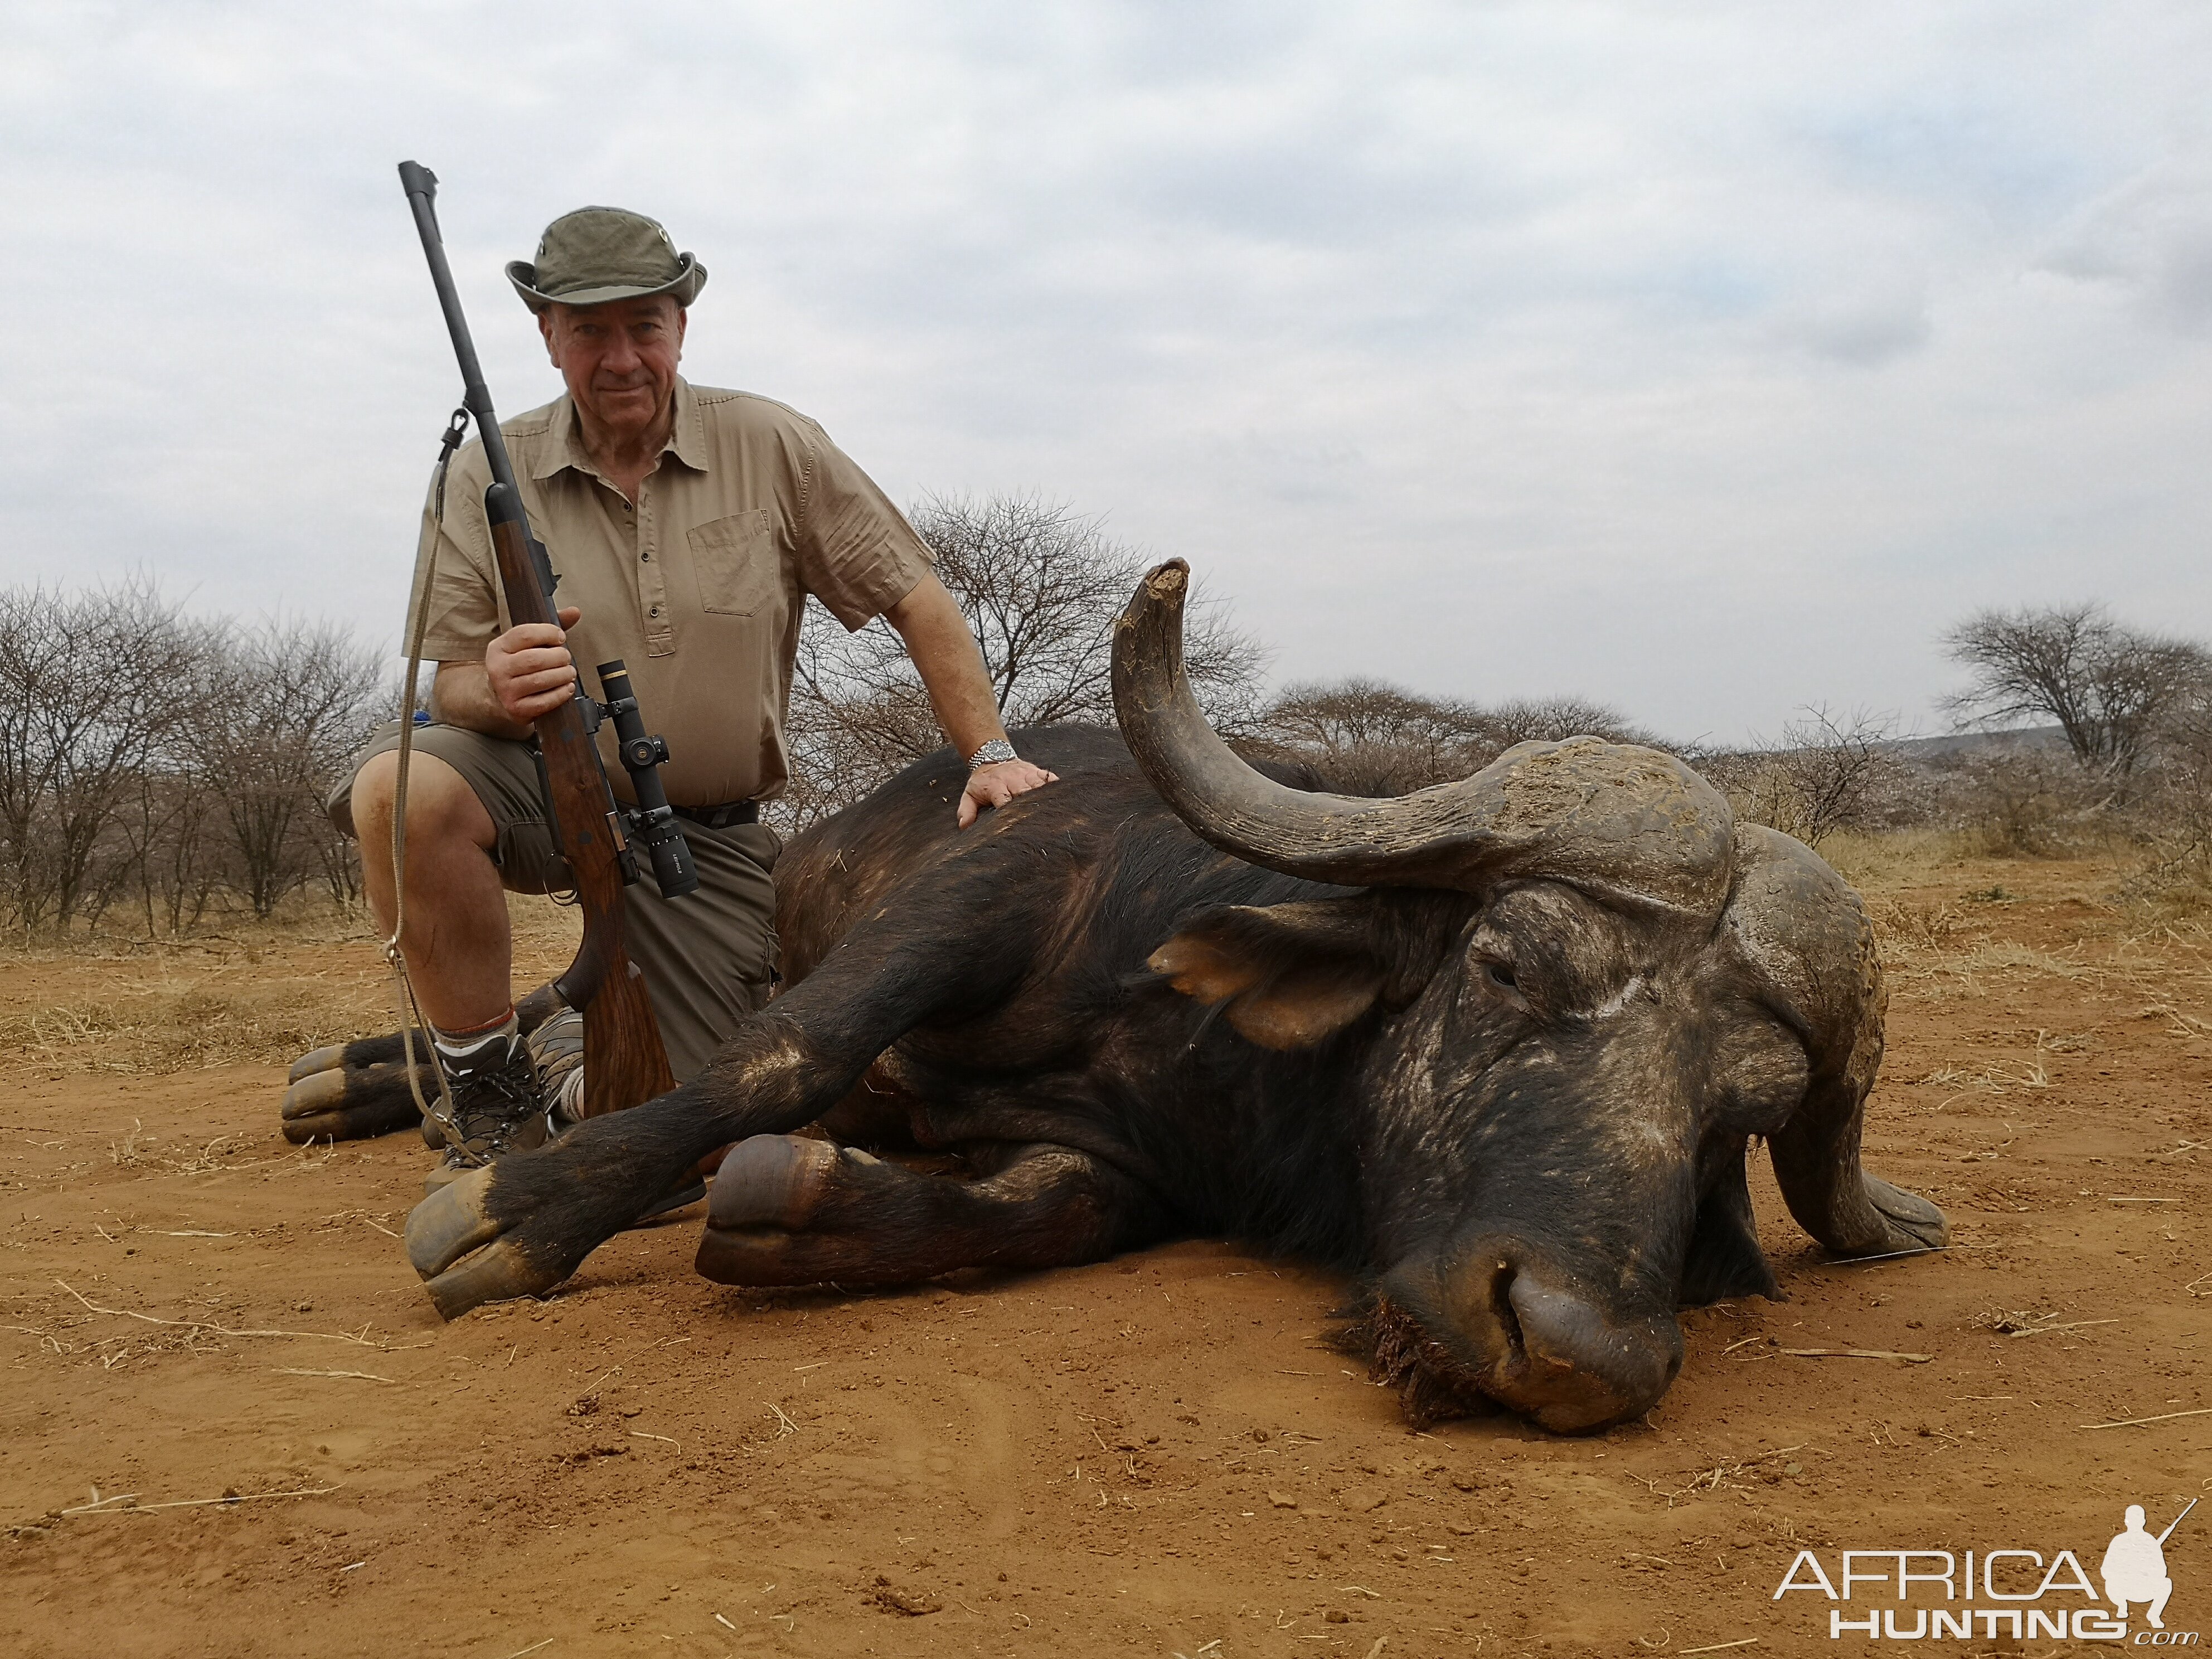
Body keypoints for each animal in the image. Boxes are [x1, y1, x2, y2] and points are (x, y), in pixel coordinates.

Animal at [407, 566, 1946, 1433]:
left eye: (1741, 1114)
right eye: (1511, 962)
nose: (1576, 1355)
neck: (1196, 1046)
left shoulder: (1122, 1164)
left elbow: (1032, 1214)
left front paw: (787, 1198)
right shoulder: (986, 894)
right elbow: (785, 1051)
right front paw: (515, 1216)